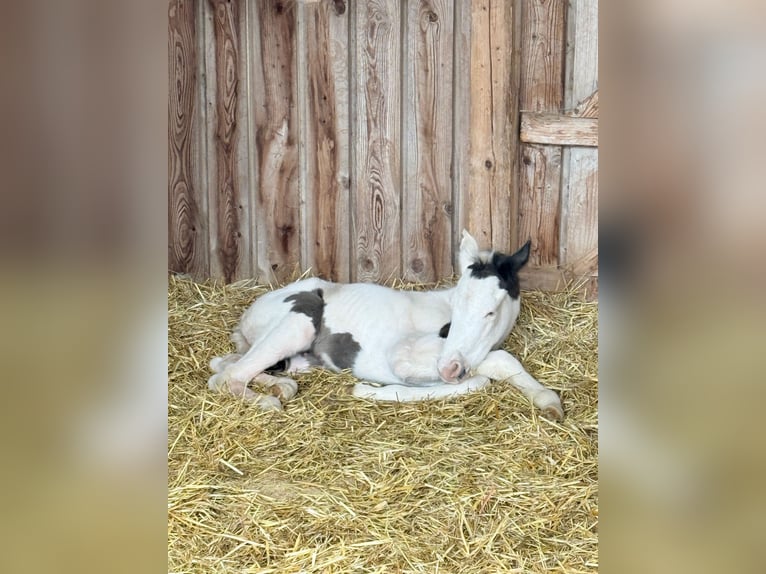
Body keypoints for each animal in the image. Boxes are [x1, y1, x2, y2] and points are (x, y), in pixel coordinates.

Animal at [207, 231, 564, 420]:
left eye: (490, 312)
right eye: (457, 306)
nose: (449, 368)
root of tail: (248, 316)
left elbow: (495, 365)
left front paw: (547, 401)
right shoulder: (402, 357)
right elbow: (485, 373)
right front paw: (370, 390)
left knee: (222, 364)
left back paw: (280, 386)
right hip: (298, 323)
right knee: (227, 376)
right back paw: (269, 401)